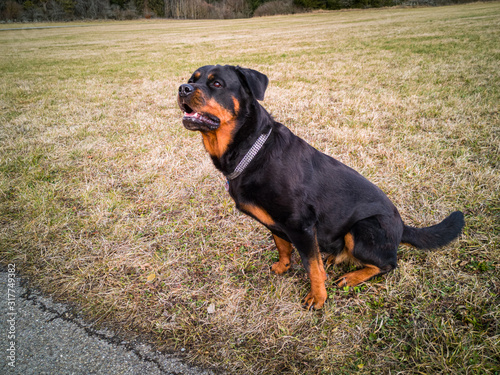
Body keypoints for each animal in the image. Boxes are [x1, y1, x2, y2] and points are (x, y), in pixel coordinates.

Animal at [176, 65, 464, 312]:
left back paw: (351, 277)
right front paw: (283, 267)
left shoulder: (300, 223)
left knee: (388, 263)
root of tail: (402, 226)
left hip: (362, 229)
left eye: (216, 83)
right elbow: (283, 246)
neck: (250, 150)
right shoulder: (278, 225)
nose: (182, 88)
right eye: (192, 79)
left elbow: (311, 267)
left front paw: (318, 297)